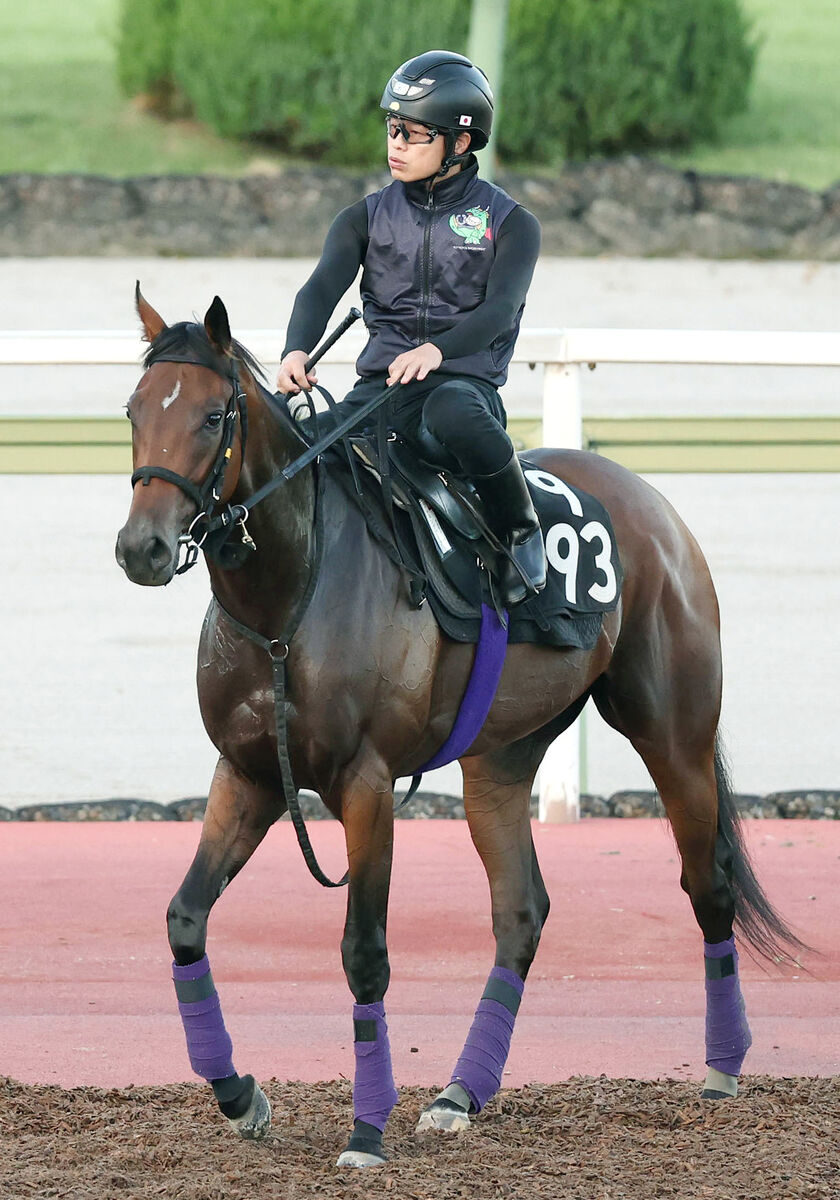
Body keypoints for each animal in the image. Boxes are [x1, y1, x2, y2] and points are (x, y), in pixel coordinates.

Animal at [114, 292, 796, 1171]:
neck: (289, 599)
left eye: (210, 416)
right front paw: (240, 1095)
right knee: (521, 912)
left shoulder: (365, 783)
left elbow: (364, 952)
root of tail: (652, 503)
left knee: (707, 882)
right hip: (499, 760)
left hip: (672, 731)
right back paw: (459, 1094)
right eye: (134, 410)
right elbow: (185, 920)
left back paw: (721, 1068)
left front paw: (366, 1132)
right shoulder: (250, 772)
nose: (142, 548)